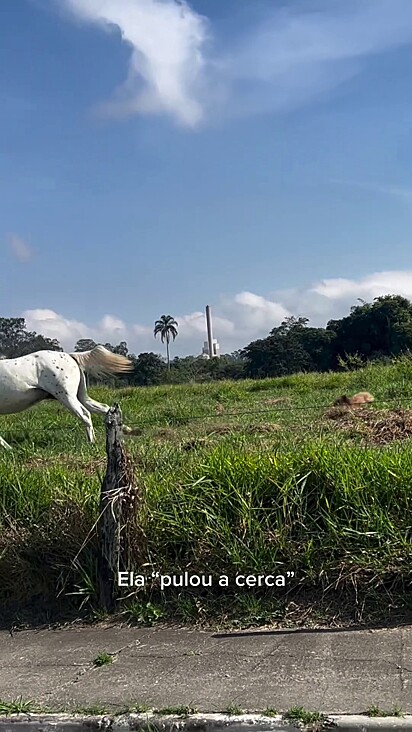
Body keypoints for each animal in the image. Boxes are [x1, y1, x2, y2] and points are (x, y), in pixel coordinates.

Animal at [0, 344, 134, 452]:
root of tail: (69, 355)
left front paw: (8, 449)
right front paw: (9, 448)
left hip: (66, 397)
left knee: (85, 414)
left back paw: (91, 442)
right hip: (79, 396)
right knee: (104, 408)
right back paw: (124, 432)